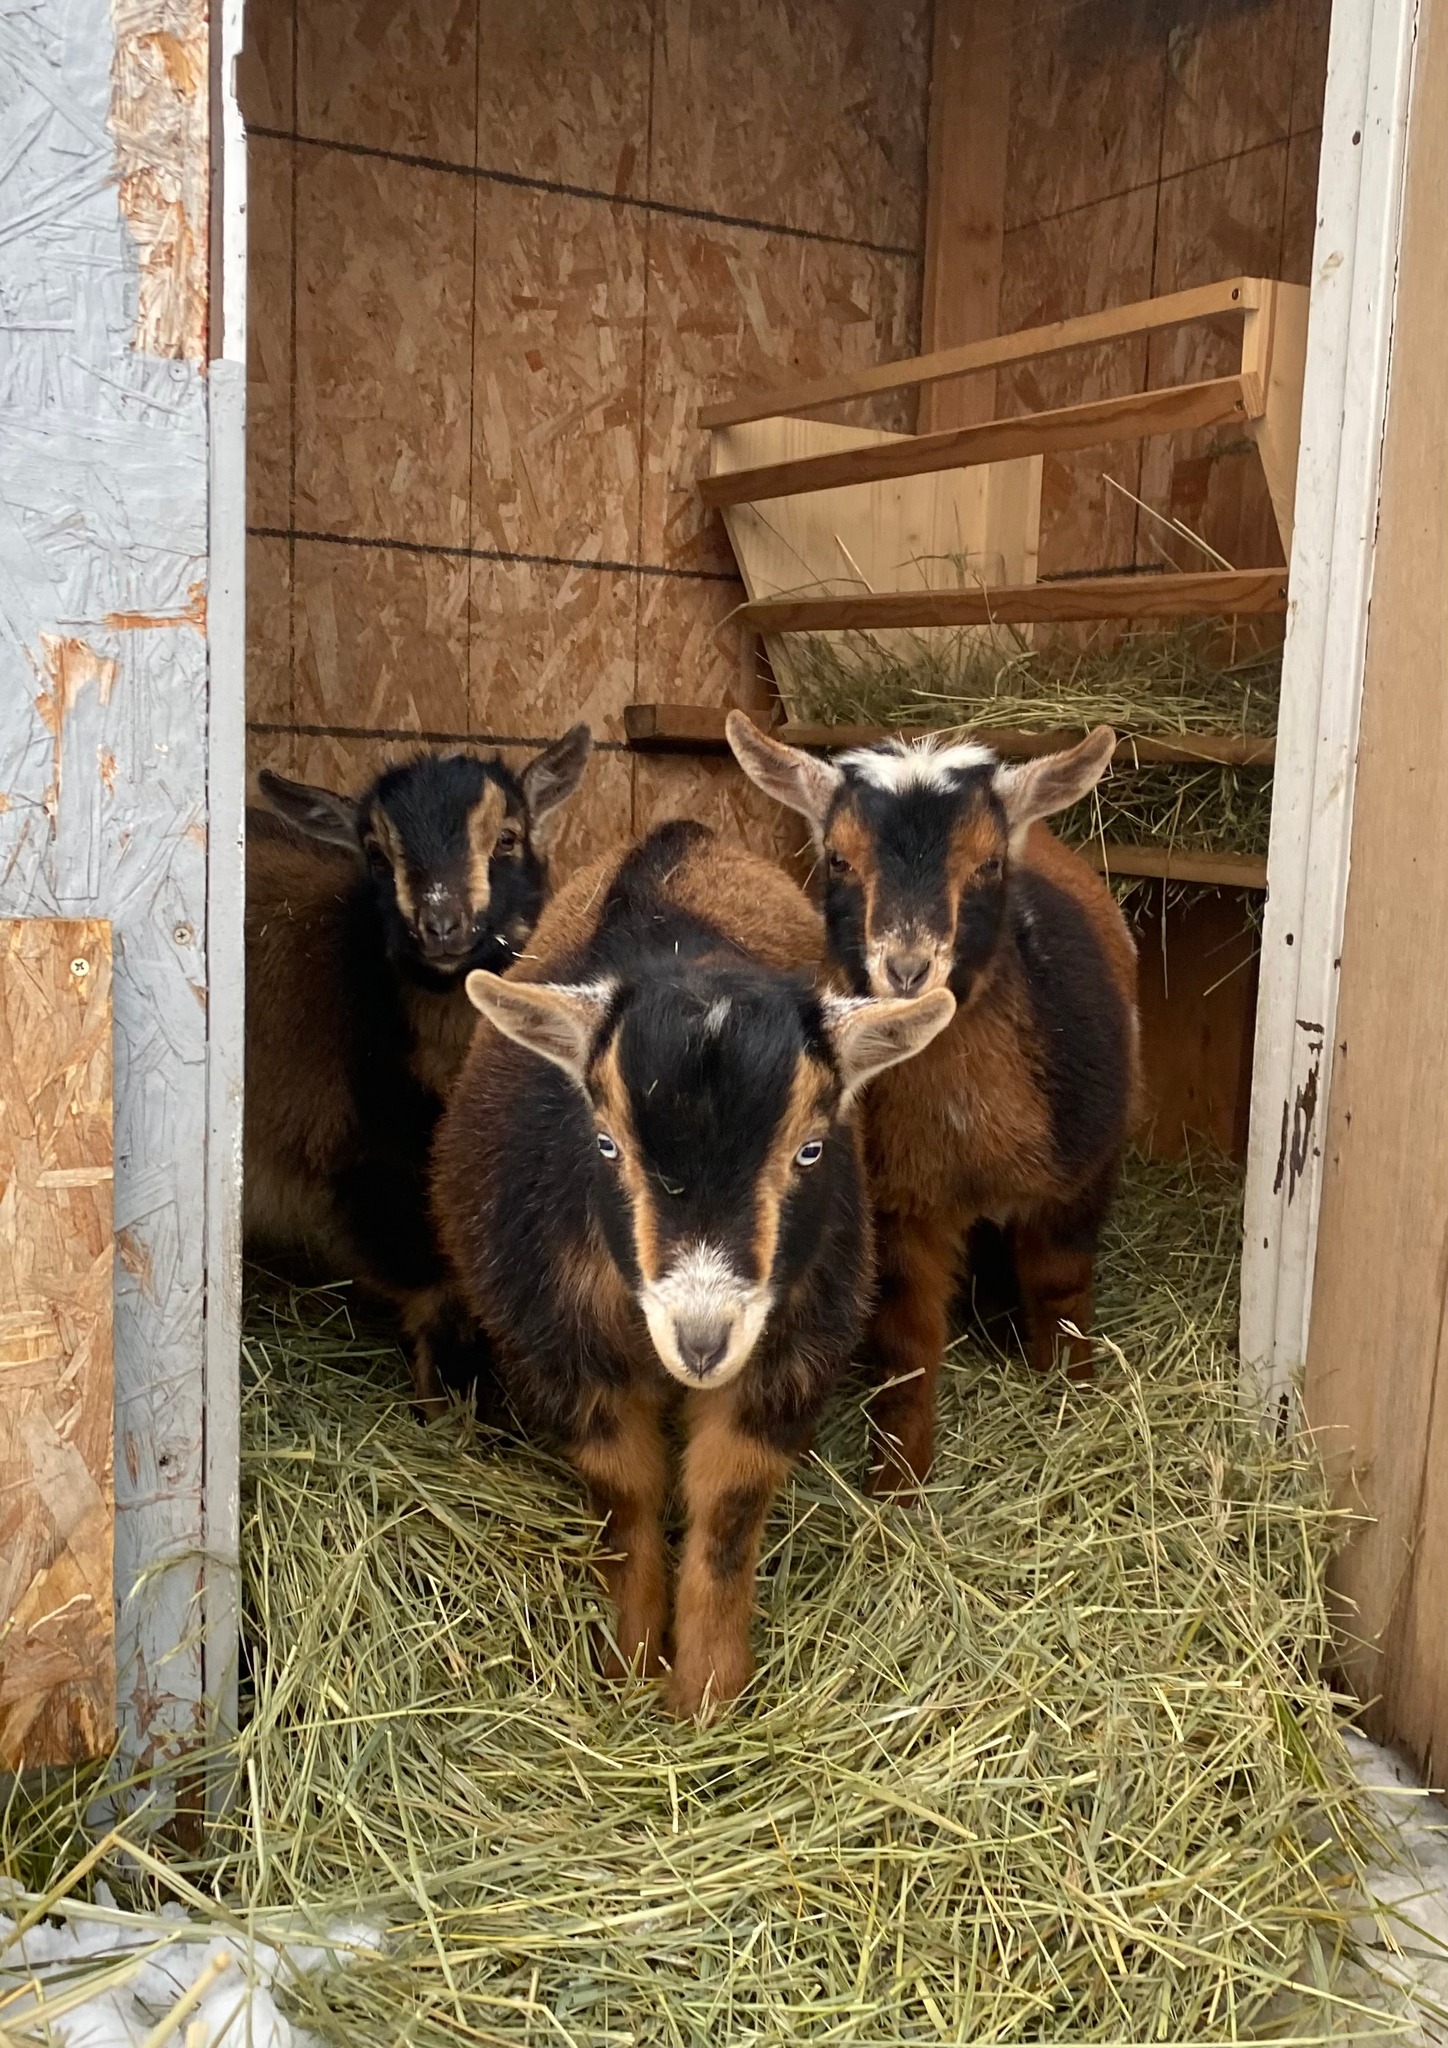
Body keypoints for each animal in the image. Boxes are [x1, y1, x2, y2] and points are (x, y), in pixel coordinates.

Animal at [244, 727, 592, 1405]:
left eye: (507, 837)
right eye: (376, 854)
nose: (442, 926)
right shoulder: (367, 1171)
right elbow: (440, 1289)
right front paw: (457, 1407)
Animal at [431, 821, 953, 1717]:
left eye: (810, 1149)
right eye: (606, 1143)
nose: (702, 1339)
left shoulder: (790, 1347)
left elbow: (729, 1507)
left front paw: (709, 1696)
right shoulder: (563, 1348)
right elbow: (623, 1498)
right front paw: (632, 1666)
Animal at [727, 713, 1141, 1491]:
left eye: (987, 865)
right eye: (838, 860)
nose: (908, 968)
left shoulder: (1082, 1174)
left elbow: (1061, 1290)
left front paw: (1071, 1402)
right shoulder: (900, 1205)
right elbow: (908, 1340)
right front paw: (897, 1482)